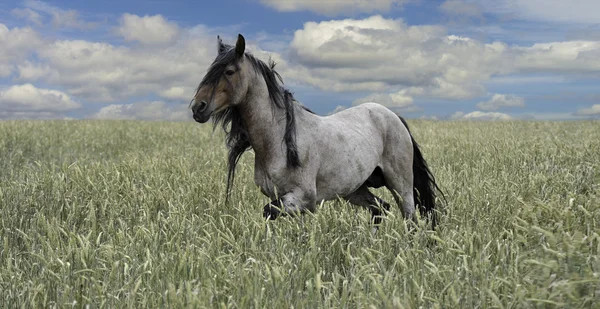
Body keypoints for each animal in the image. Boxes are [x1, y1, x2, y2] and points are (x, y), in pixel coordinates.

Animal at [190, 33, 442, 231]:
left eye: (229, 71)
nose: (197, 107)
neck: (278, 140)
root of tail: (393, 116)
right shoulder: (284, 199)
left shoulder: (303, 198)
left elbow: (269, 212)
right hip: (356, 189)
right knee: (381, 208)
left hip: (401, 185)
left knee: (409, 218)